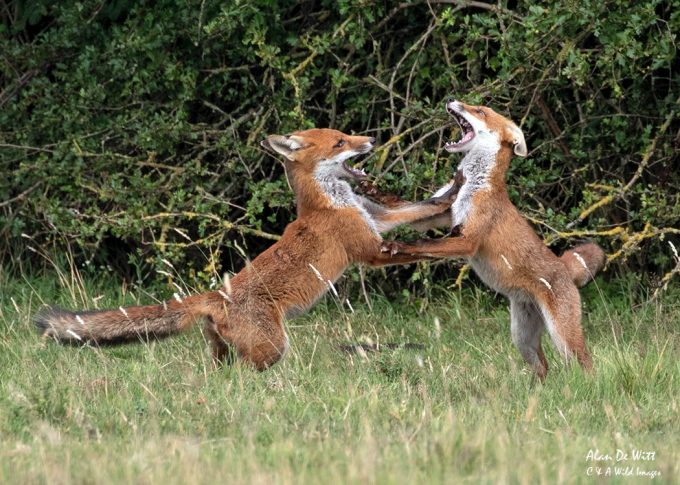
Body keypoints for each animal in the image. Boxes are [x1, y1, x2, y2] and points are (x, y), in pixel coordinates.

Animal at [35, 128, 464, 370]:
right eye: (342, 141)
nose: (372, 140)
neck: (330, 202)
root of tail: (217, 295)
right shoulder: (370, 247)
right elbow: (414, 248)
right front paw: (449, 245)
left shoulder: (377, 219)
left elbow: (420, 208)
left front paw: (453, 192)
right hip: (271, 347)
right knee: (244, 375)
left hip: (226, 351)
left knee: (218, 373)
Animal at [379, 99, 606, 379]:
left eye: (480, 111)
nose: (451, 99)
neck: (474, 185)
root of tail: (564, 267)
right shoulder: (439, 216)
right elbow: (404, 210)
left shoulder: (467, 240)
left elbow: (424, 245)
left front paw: (398, 246)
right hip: (522, 338)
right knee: (543, 368)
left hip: (563, 337)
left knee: (585, 364)